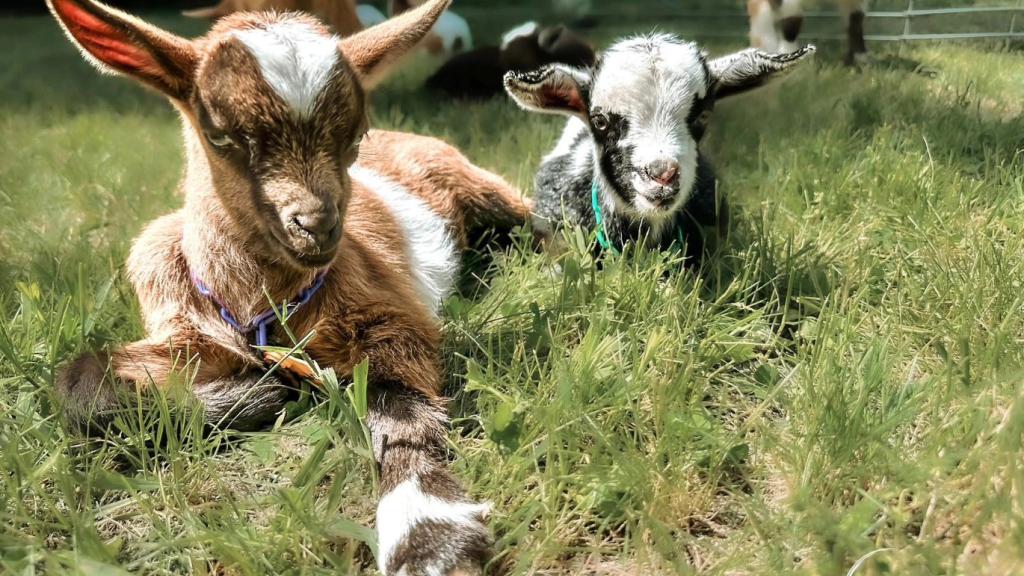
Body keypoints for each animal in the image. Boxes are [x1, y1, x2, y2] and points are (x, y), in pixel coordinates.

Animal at [48, 0, 531, 573]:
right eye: (220, 135)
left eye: (355, 135)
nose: (318, 226)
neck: (261, 313)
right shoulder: (186, 329)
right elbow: (79, 385)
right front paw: (251, 397)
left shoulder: (388, 315)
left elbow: (401, 411)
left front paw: (428, 536)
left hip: (480, 187)